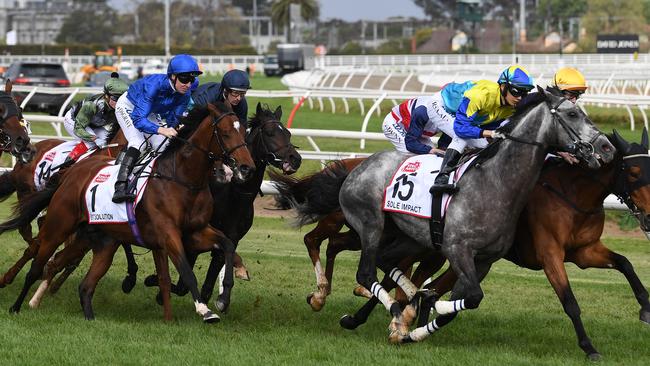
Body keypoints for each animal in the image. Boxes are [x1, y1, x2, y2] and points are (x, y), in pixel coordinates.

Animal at [0, 101, 253, 322]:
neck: (183, 179)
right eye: (226, 133)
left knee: (73, 275)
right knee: (37, 261)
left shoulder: (195, 232)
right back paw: (16, 304)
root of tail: (71, 174)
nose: (245, 167)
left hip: (95, 240)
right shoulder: (169, 234)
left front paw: (225, 294)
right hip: (58, 226)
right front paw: (205, 310)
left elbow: (226, 245)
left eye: (243, 131)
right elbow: (184, 269)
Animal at [294, 88, 612, 344]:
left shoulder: (482, 260)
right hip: (370, 225)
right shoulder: (457, 249)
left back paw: (408, 305)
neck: (496, 183)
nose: (606, 147)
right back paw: (391, 310)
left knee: (385, 262)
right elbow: (471, 297)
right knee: (365, 270)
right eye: (572, 113)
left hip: (408, 236)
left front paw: (419, 326)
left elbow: (464, 300)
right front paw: (426, 310)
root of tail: (357, 167)